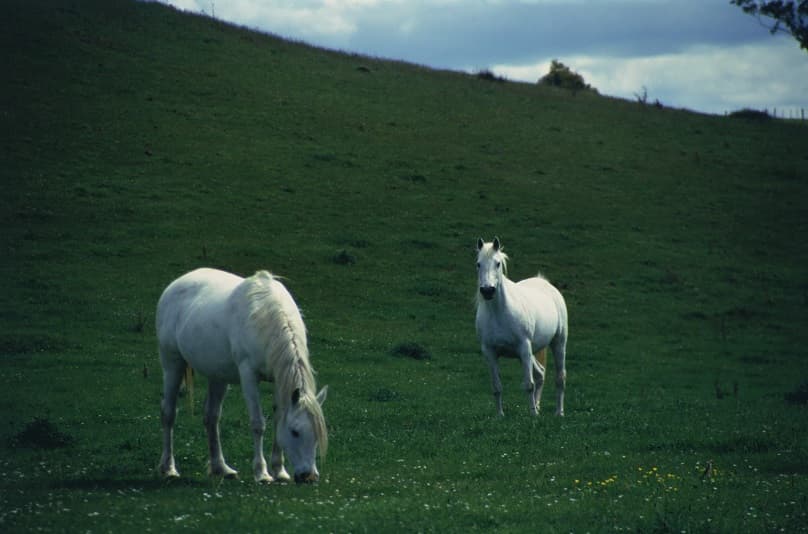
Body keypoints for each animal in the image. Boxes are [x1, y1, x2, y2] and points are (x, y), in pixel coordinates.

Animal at [156, 270, 326, 484]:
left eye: (317, 434)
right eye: (295, 432)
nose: (308, 476)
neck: (267, 316)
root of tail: (174, 285)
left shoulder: (279, 380)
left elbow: (278, 418)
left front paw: (279, 470)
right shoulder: (248, 375)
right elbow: (258, 423)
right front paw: (262, 473)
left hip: (217, 376)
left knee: (211, 417)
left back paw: (221, 468)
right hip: (172, 364)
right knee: (168, 413)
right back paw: (168, 467)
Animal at [474, 239, 568, 418]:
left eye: (497, 264)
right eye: (478, 264)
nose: (488, 291)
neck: (499, 313)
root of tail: (546, 284)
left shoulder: (524, 347)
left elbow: (528, 385)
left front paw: (533, 416)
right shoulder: (490, 353)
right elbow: (496, 387)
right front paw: (500, 415)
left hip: (558, 344)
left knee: (559, 378)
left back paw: (558, 412)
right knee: (540, 374)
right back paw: (537, 406)